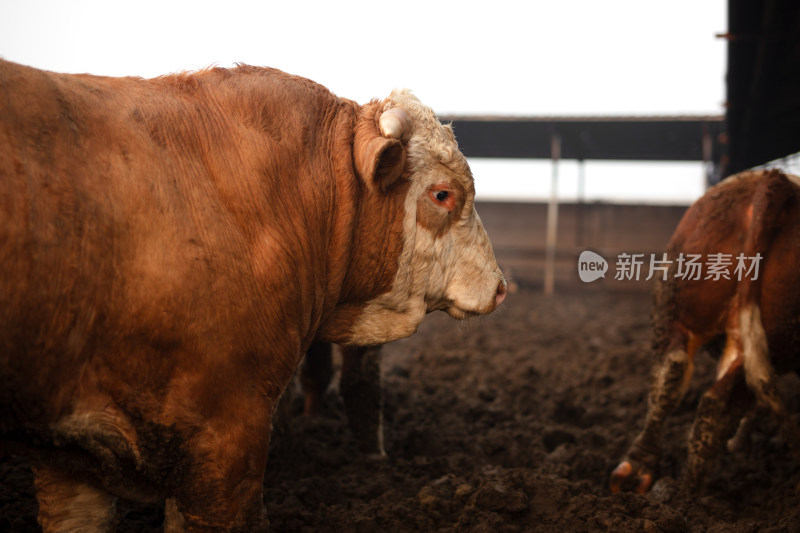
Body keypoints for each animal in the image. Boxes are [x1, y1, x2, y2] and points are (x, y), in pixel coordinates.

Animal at [612, 168, 800, 492]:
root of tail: (774, 181)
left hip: (675, 311)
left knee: (671, 374)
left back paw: (641, 468)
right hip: (777, 343)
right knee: (719, 403)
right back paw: (687, 495)